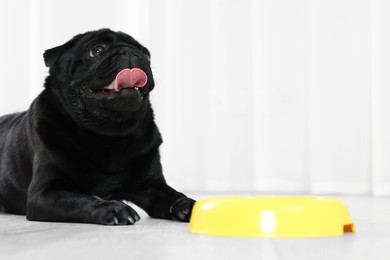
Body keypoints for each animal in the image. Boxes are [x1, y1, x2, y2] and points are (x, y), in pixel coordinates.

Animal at [0, 27, 195, 223]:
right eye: (97, 51)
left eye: (146, 56)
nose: (129, 51)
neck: (107, 134)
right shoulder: (44, 193)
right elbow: (81, 199)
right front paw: (113, 207)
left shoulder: (151, 186)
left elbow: (173, 195)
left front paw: (188, 205)